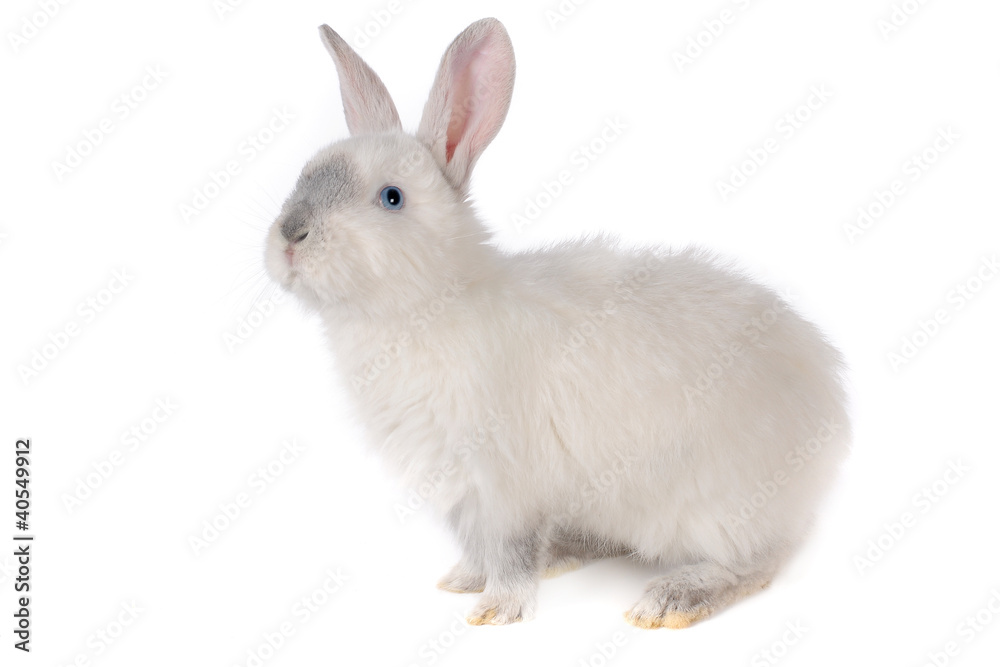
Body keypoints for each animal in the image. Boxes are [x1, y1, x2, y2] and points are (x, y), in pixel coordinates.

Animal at [263, 17, 851, 629]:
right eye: (304, 174)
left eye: (392, 197)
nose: (290, 234)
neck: (430, 304)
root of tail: (830, 420)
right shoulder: (465, 490)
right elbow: (481, 546)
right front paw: (463, 581)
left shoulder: (505, 482)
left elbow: (511, 551)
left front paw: (496, 610)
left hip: (716, 507)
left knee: (756, 565)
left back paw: (673, 599)